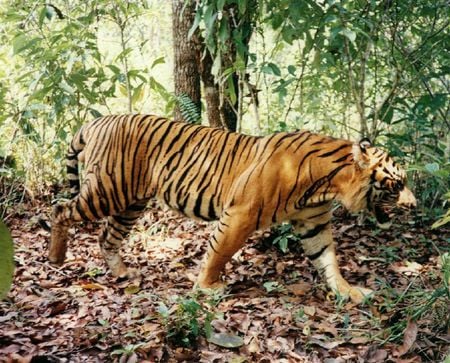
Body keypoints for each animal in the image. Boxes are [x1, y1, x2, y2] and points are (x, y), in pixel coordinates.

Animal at [47, 114, 416, 304]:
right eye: (397, 184)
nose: (414, 205)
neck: (327, 185)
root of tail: (96, 121)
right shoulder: (241, 214)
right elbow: (219, 252)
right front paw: (207, 287)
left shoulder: (313, 223)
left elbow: (327, 260)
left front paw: (348, 291)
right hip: (107, 191)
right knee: (60, 209)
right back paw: (56, 257)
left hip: (130, 201)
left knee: (107, 237)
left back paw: (122, 272)